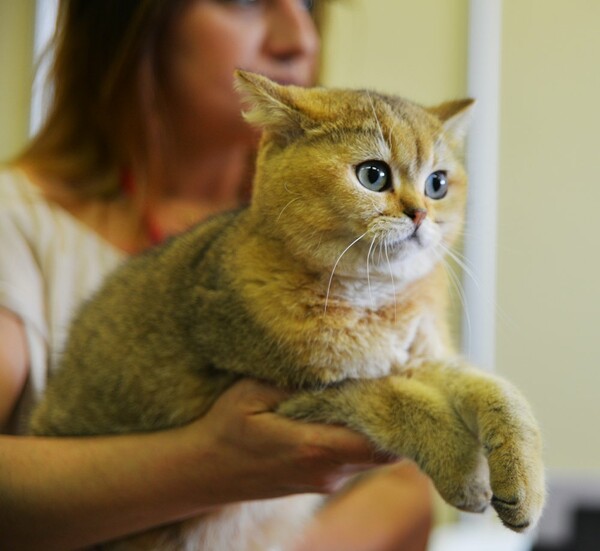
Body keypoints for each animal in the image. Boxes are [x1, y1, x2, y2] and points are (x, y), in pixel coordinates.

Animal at [29, 71, 544, 551]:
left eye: (437, 184)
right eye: (373, 175)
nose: (420, 214)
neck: (375, 300)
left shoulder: (422, 359)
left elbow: (499, 394)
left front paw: (524, 482)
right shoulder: (294, 394)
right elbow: (397, 399)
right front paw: (462, 466)